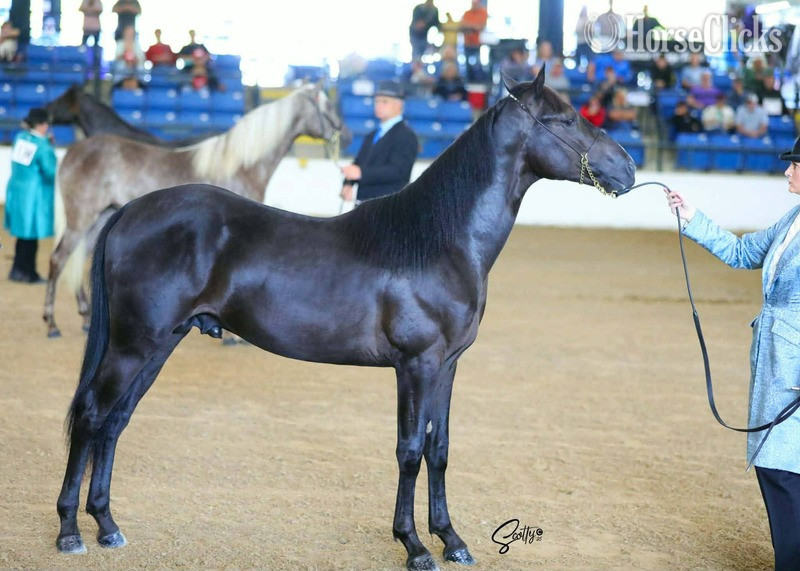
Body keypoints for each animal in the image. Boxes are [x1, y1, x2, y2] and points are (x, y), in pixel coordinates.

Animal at [43, 82, 350, 338]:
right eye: (327, 106)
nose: (345, 134)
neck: (242, 165)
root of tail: (74, 152)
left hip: (100, 218)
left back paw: (85, 319)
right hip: (81, 217)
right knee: (58, 259)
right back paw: (52, 324)